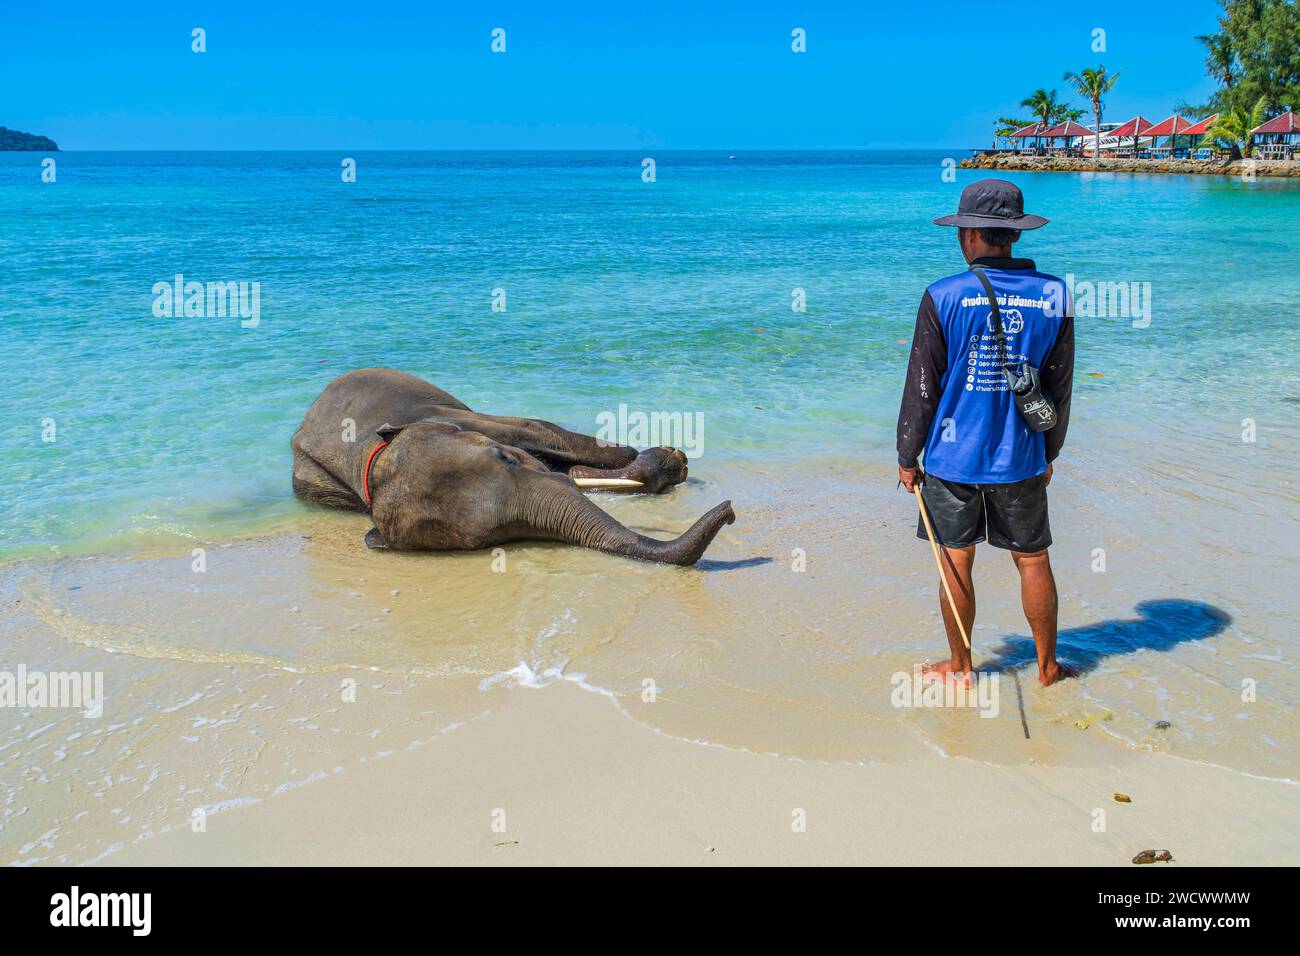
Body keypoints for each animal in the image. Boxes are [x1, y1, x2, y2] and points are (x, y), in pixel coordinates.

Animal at [295, 366, 738, 561]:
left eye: (503, 457)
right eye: (489, 539)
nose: (731, 511)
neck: (374, 461)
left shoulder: (447, 414)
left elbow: (540, 430)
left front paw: (667, 460)